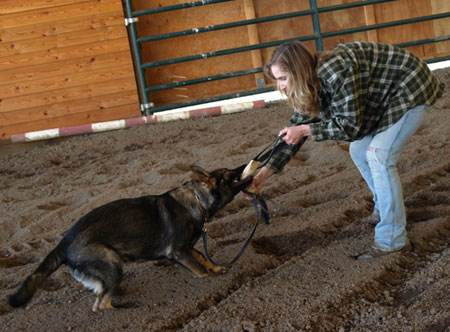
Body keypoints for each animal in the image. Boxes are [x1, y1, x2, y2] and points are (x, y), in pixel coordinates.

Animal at [7, 165, 251, 312]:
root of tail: (64, 242)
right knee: (101, 304)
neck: (197, 200)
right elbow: (199, 270)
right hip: (112, 263)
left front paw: (217, 268)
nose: (243, 166)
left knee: (101, 296)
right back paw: (128, 307)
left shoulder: (189, 248)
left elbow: (203, 257)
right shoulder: (179, 252)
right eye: (228, 174)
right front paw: (211, 278)